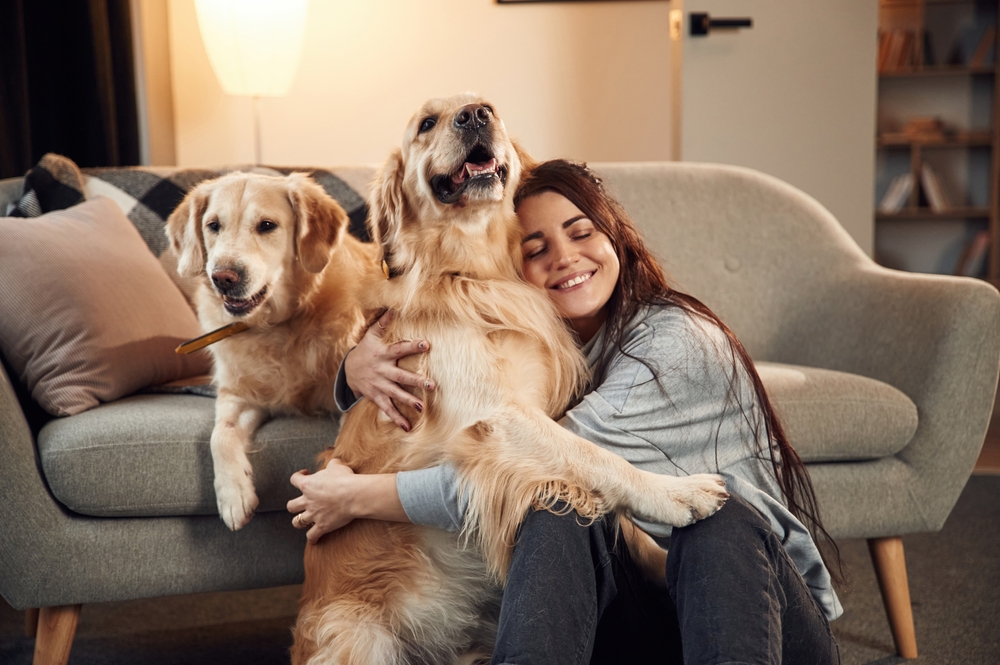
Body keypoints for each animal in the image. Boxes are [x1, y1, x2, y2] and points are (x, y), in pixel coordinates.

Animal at [168, 172, 378, 528]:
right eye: (213, 225)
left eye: (266, 225)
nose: (223, 277)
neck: (275, 326)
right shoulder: (239, 394)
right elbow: (220, 435)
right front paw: (233, 494)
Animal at [292, 93, 732, 664]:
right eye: (426, 123)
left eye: (488, 107)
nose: (475, 116)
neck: (478, 274)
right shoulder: (496, 418)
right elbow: (596, 457)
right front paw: (677, 493)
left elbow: (617, 510)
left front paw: (660, 559)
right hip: (361, 640)